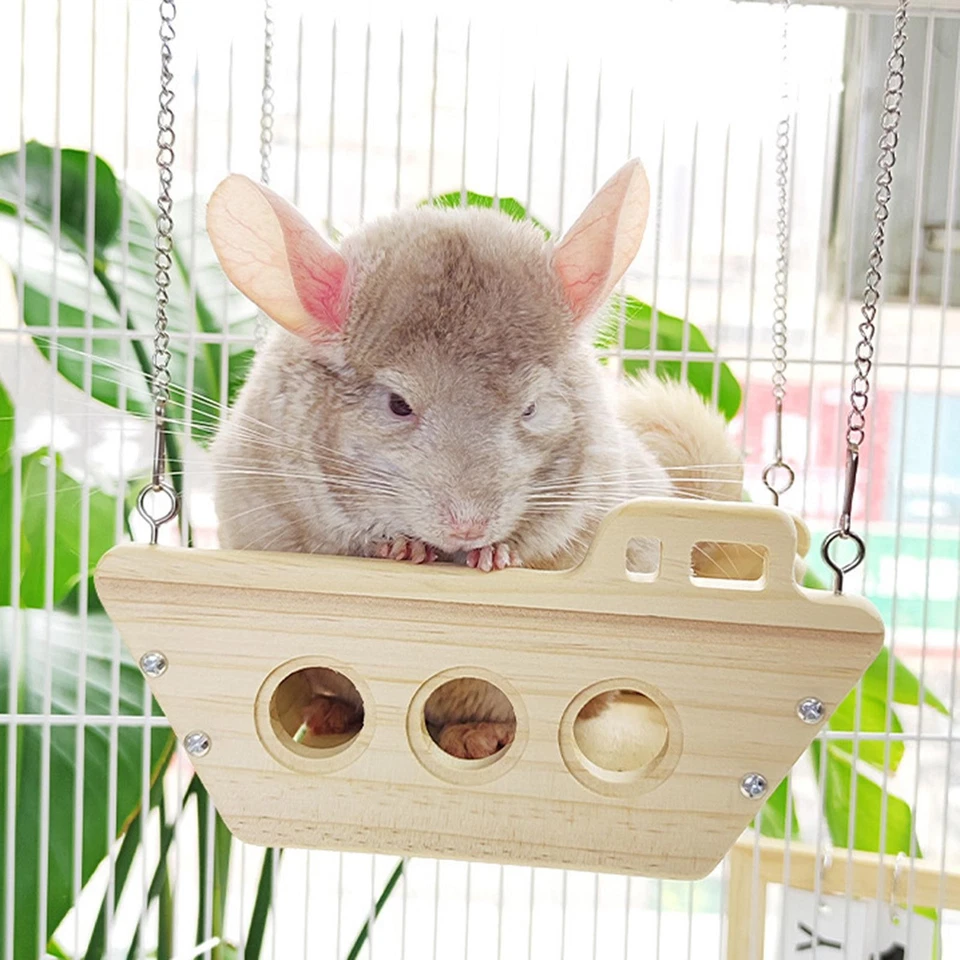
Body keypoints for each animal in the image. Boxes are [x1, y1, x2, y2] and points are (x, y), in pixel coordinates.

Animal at [206, 159, 744, 759]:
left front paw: (492, 555)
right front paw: (403, 547)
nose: (469, 526)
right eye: (398, 404)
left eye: (531, 407)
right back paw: (329, 713)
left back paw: (477, 737)